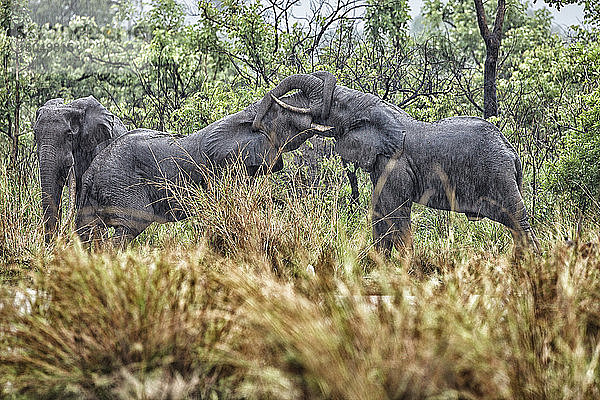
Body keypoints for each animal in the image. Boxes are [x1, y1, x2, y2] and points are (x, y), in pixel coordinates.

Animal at [74, 73, 336, 242]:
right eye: (285, 111)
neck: (247, 118)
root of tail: (92, 172)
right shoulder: (226, 168)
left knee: (89, 236)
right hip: (124, 188)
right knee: (126, 230)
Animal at [251, 72, 540, 253]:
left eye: (338, 104)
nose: (256, 125)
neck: (382, 110)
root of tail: (512, 153)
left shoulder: (395, 164)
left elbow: (394, 211)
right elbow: (380, 210)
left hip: (498, 175)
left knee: (518, 221)